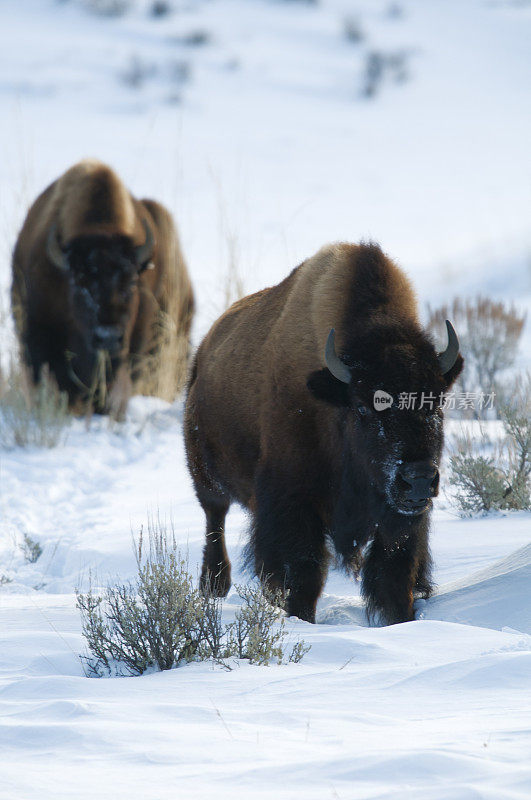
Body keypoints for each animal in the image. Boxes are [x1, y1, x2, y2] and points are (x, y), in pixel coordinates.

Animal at [185, 242, 464, 624]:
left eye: (435, 404)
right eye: (363, 408)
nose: (418, 479)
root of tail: (202, 353)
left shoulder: (403, 517)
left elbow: (394, 571)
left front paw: (403, 619)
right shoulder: (294, 502)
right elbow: (305, 571)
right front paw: (301, 618)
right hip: (206, 477)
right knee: (215, 518)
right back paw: (214, 586)